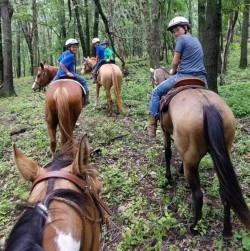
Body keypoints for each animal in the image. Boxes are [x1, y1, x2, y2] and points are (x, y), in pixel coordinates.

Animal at [151, 69, 250, 236]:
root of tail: (208, 106)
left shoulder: (165, 132)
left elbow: (168, 153)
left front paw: (168, 177)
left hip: (192, 162)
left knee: (198, 195)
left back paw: (194, 226)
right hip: (221, 155)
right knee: (225, 192)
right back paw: (227, 230)